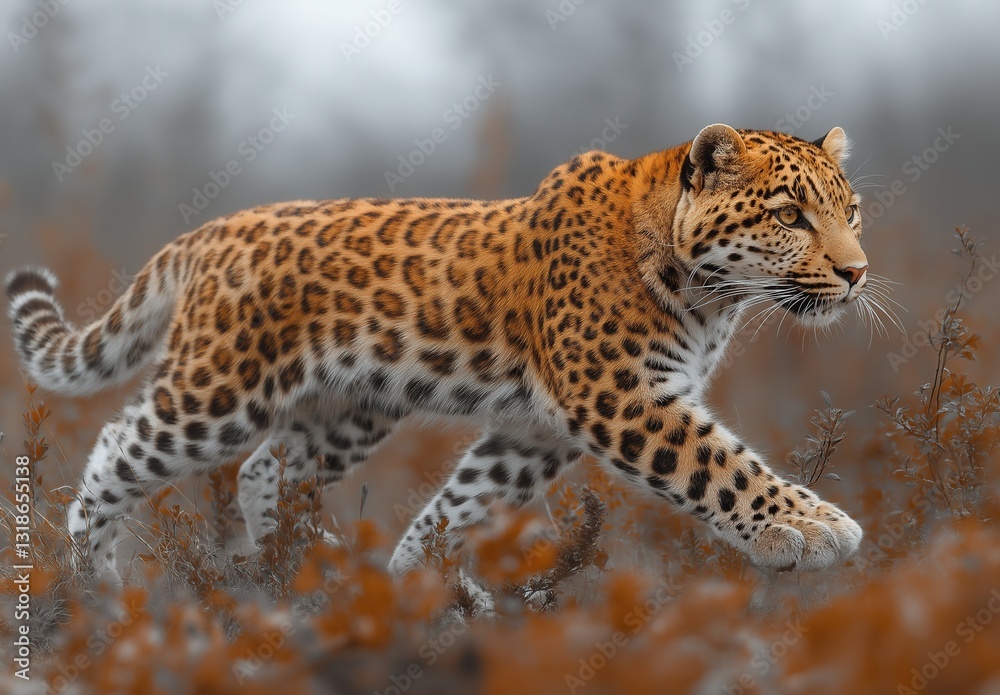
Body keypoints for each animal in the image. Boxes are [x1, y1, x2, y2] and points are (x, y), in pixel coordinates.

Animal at [7, 123, 871, 583]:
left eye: (852, 209)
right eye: (790, 215)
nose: (857, 272)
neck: (711, 295)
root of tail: (212, 230)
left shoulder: (537, 429)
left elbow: (465, 502)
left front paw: (415, 585)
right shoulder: (619, 395)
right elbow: (719, 463)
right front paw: (808, 526)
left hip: (351, 406)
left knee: (263, 472)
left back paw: (313, 568)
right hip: (218, 392)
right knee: (121, 444)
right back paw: (93, 577)